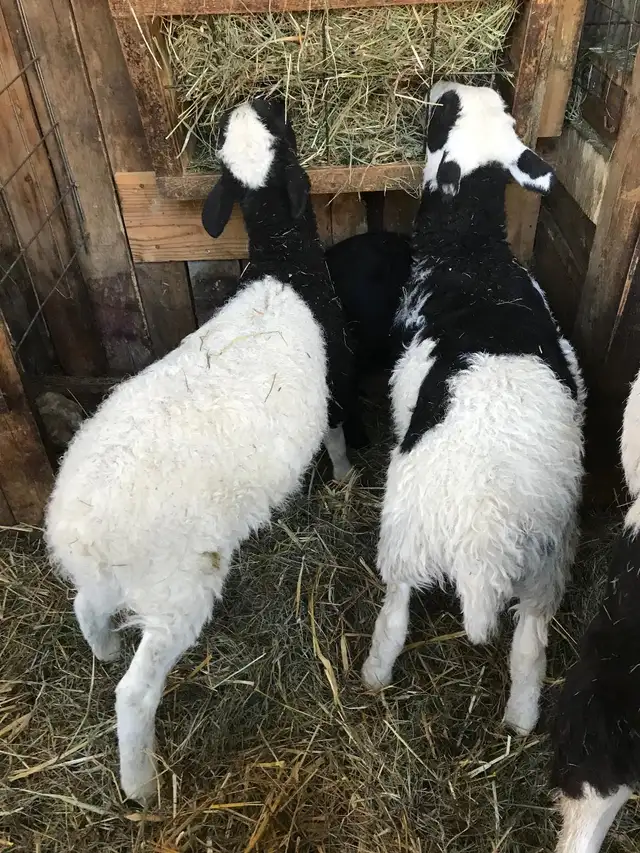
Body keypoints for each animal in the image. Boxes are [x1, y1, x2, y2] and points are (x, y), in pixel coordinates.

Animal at [45, 97, 354, 804]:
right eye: (285, 130)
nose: (262, 99)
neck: (284, 264)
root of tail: (80, 533)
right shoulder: (334, 389)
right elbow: (337, 436)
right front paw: (349, 479)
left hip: (113, 582)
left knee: (86, 608)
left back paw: (101, 652)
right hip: (178, 590)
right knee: (134, 695)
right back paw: (142, 788)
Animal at [360, 81, 586, 737]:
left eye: (443, 117)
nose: (444, 88)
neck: (474, 256)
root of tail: (487, 539)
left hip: (407, 529)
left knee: (397, 608)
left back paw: (373, 674)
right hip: (548, 559)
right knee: (530, 645)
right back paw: (521, 717)